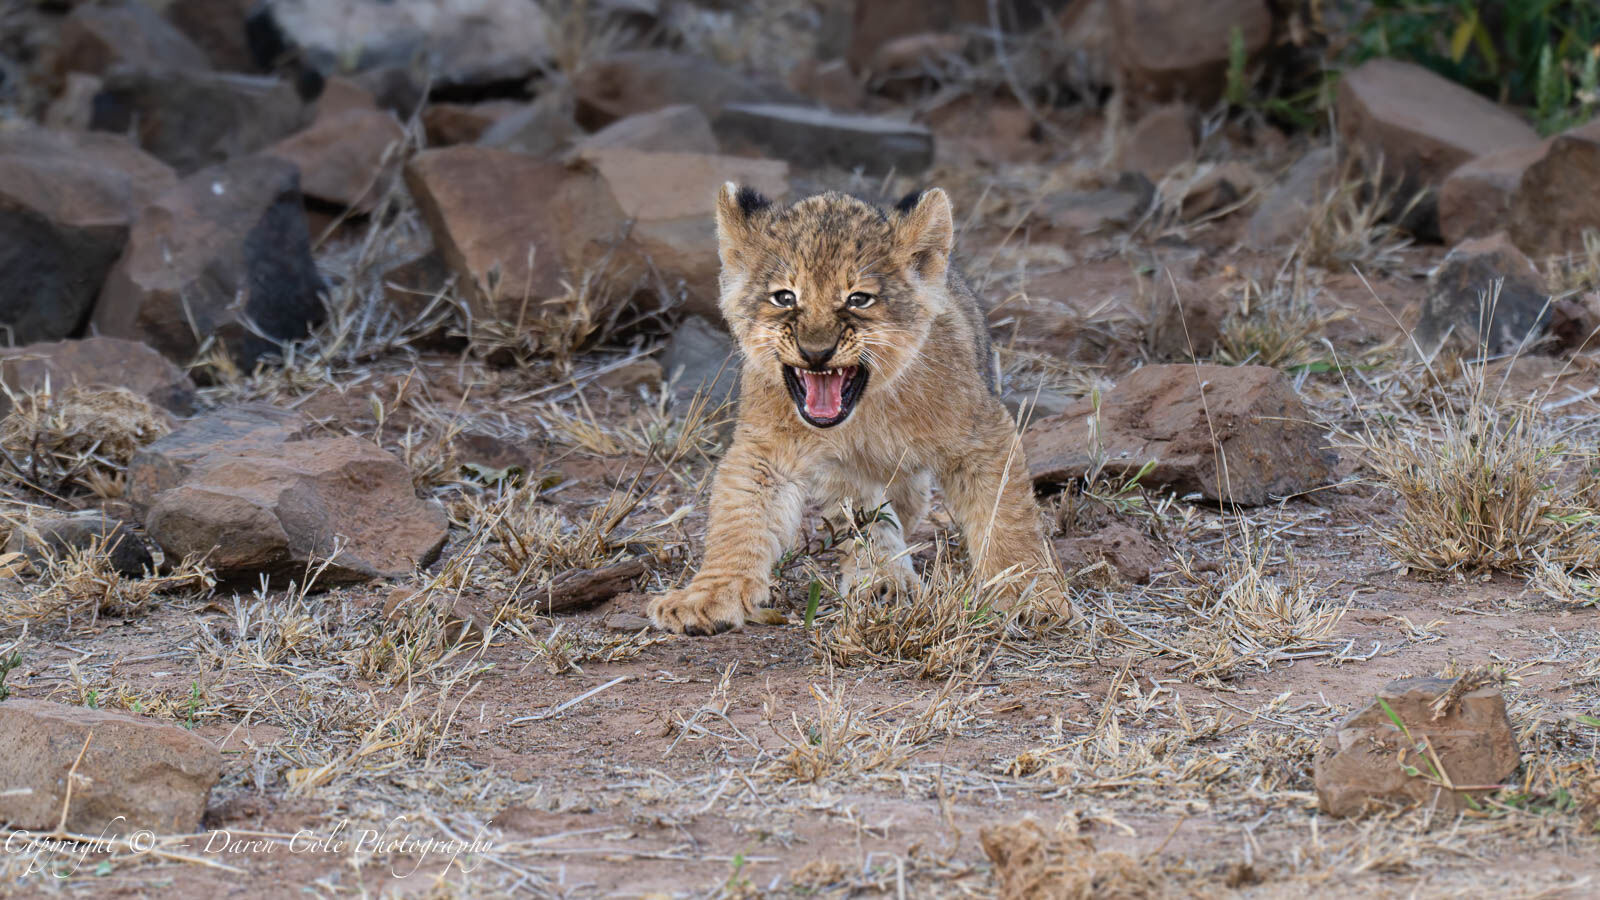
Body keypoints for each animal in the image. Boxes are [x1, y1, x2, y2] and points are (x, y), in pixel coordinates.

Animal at [647, 185, 1070, 635]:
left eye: (858, 299)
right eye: (784, 297)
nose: (816, 352)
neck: (865, 411)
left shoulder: (983, 435)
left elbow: (1007, 516)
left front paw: (1030, 594)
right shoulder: (767, 452)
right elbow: (739, 518)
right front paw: (705, 597)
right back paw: (884, 581)